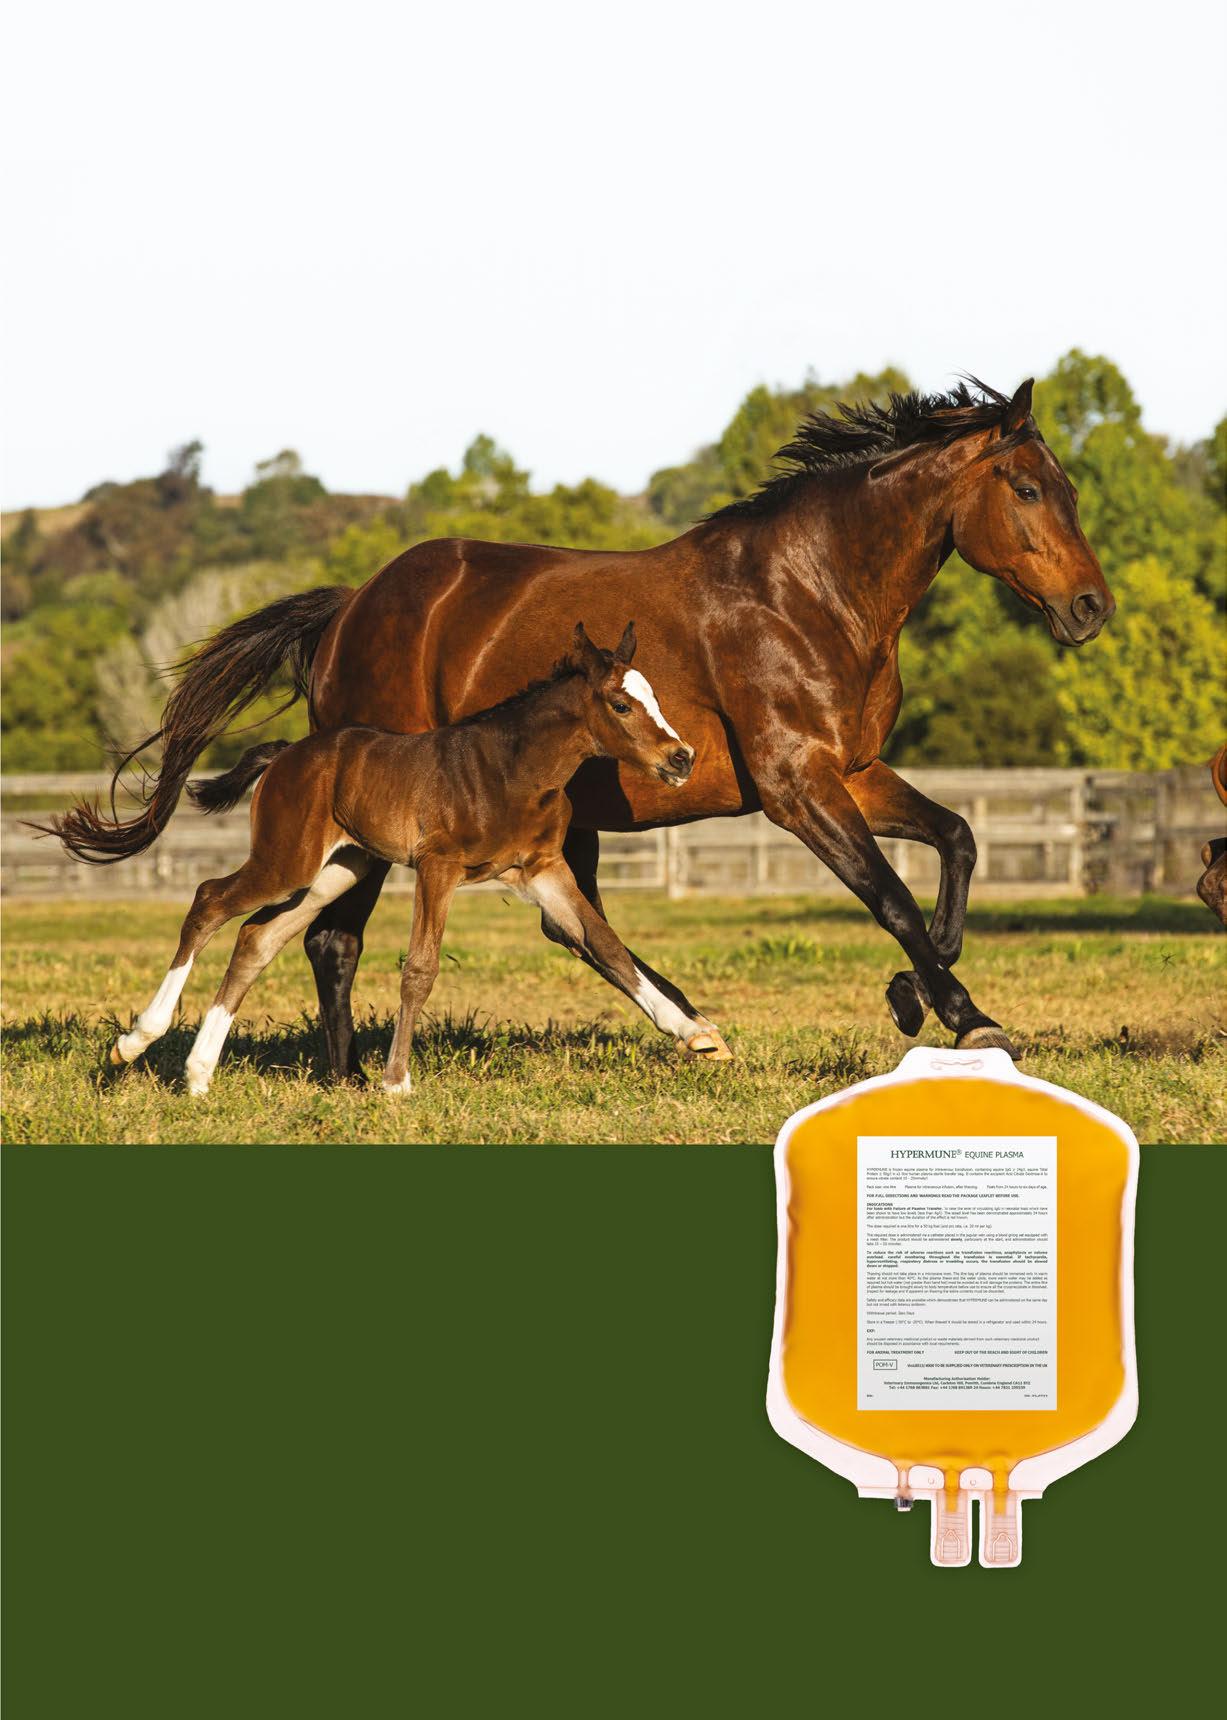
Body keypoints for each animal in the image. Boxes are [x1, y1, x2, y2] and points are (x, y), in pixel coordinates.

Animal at [106, 623, 707, 1094]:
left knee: (257, 937)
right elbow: (420, 967)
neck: (511, 770)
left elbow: (605, 943)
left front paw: (694, 1032)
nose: (682, 757)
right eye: (621, 705)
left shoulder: (541, 869)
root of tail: (285, 755)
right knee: (209, 901)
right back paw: (135, 1041)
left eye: (655, 699)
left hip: (335, 872)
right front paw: (396, 1081)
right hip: (286, 862)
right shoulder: (439, 868)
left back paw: (198, 1073)